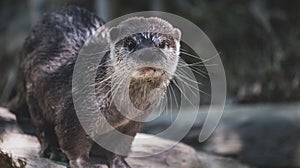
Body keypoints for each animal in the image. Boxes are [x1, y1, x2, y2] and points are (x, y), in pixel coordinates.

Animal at [9, 5, 180, 167]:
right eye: (131, 43)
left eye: (162, 43)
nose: (147, 54)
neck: (122, 110)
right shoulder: (77, 109)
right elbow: (73, 141)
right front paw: (83, 164)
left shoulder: (133, 122)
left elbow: (120, 146)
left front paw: (121, 163)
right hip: (34, 90)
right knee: (41, 124)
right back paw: (53, 150)